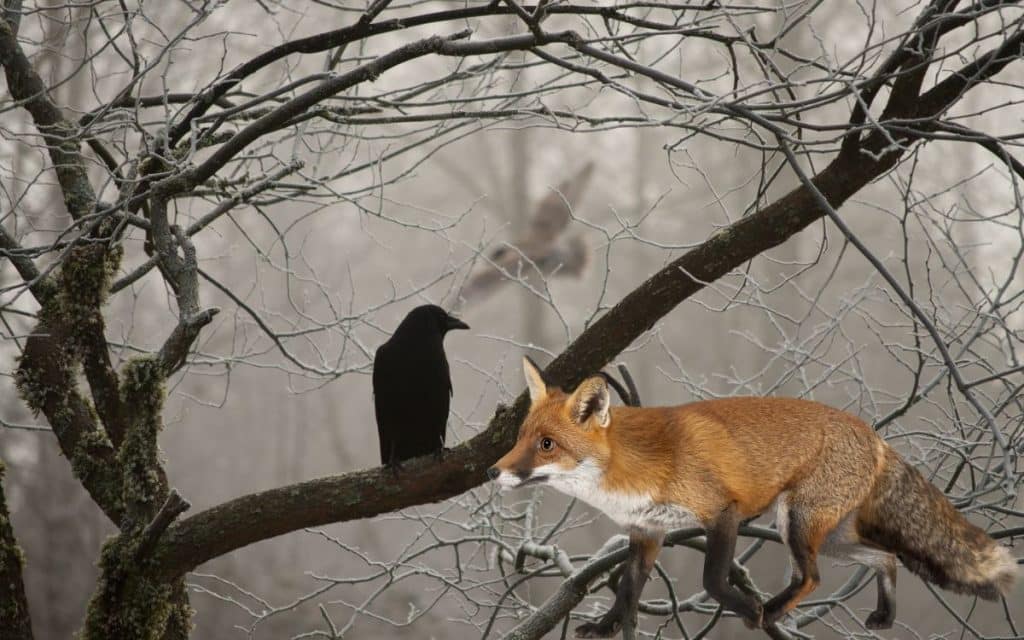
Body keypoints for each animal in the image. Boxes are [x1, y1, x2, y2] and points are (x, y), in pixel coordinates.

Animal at [488, 358, 1019, 638]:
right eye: (519, 438)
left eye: (547, 444)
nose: (493, 471)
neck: (629, 471)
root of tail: (873, 435)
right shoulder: (647, 530)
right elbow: (628, 588)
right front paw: (607, 627)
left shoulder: (724, 511)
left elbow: (713, 577)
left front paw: (746, 607)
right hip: (832, 536)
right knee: (885, 557)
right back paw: (884, 616)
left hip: (795, 523)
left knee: (811, 577)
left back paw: (776, 610)